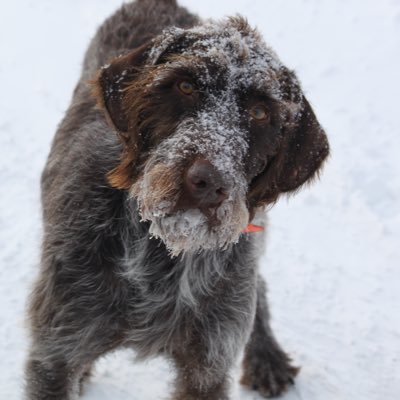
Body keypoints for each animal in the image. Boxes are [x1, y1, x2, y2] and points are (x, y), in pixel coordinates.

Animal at [26, 0, 330, 400]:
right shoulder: (56, 356)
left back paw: (268, 356)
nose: (207, 183)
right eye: (185, 85)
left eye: (260, 112)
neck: (162, 251)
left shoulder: (206, 367)